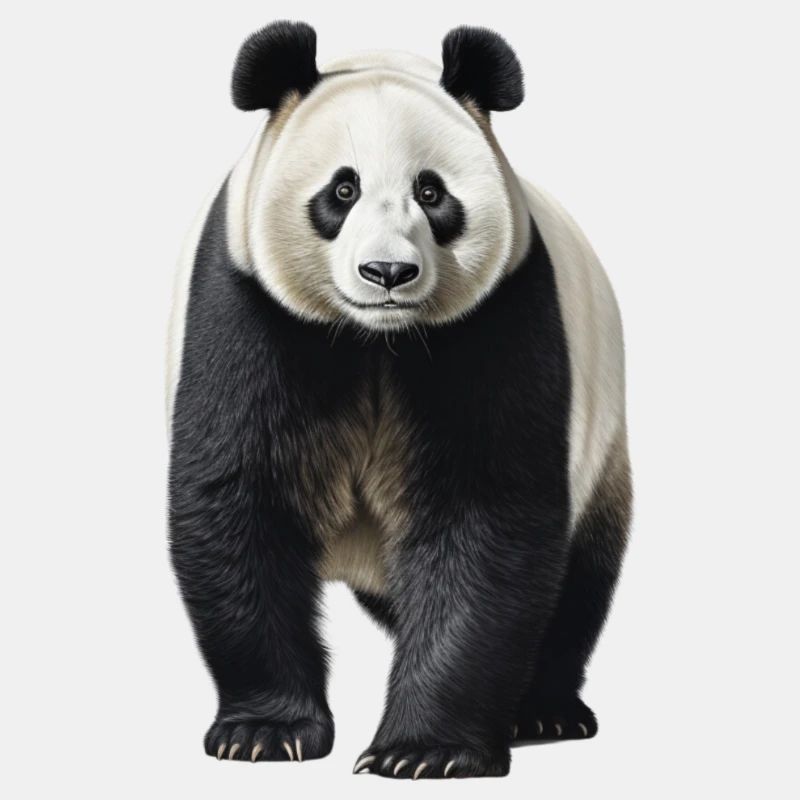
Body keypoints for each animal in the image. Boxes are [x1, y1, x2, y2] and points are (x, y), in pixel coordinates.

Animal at [167, 20, 632, 780]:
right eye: (342, 189)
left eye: (432, 192)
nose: (388, 272)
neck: (375, 339)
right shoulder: (247, 308)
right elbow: (240, 496)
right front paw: (266, 733)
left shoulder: (498, 317)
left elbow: (483, 515)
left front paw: (425, 751)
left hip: (603, 438)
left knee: (579, 579)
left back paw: (543, 710)